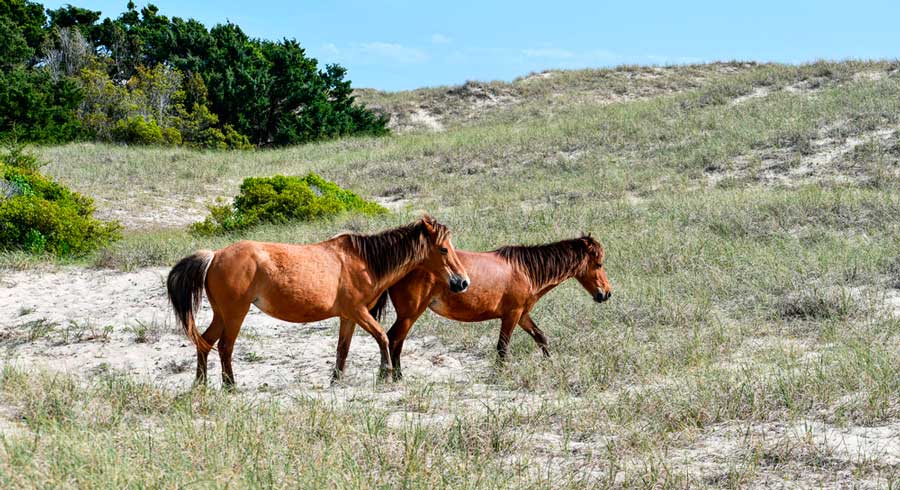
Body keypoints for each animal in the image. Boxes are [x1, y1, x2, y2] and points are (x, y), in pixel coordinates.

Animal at [166, 215, 470, 389]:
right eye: (443, 249)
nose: (463, 282)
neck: (365, 262)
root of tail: (215, 256)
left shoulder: (348, 317)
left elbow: (342, 349)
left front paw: (336, 379)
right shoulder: (358, 311)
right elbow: (383, 336)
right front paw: (385, 372)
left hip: (222, 314)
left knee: (205, 342)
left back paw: (201, 384)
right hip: (234, 314)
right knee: (224, 347)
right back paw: (230, 386)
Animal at [374, 234, 611, 379]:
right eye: (598, 264)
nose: (606, 293)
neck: (525, 270)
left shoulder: (522, 315)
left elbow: (541, 338)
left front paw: (550, 364)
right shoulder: (512, 315)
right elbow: (502, 348)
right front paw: (500, 374)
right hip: (409, 314)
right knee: (393, 338)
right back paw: (395, 376)